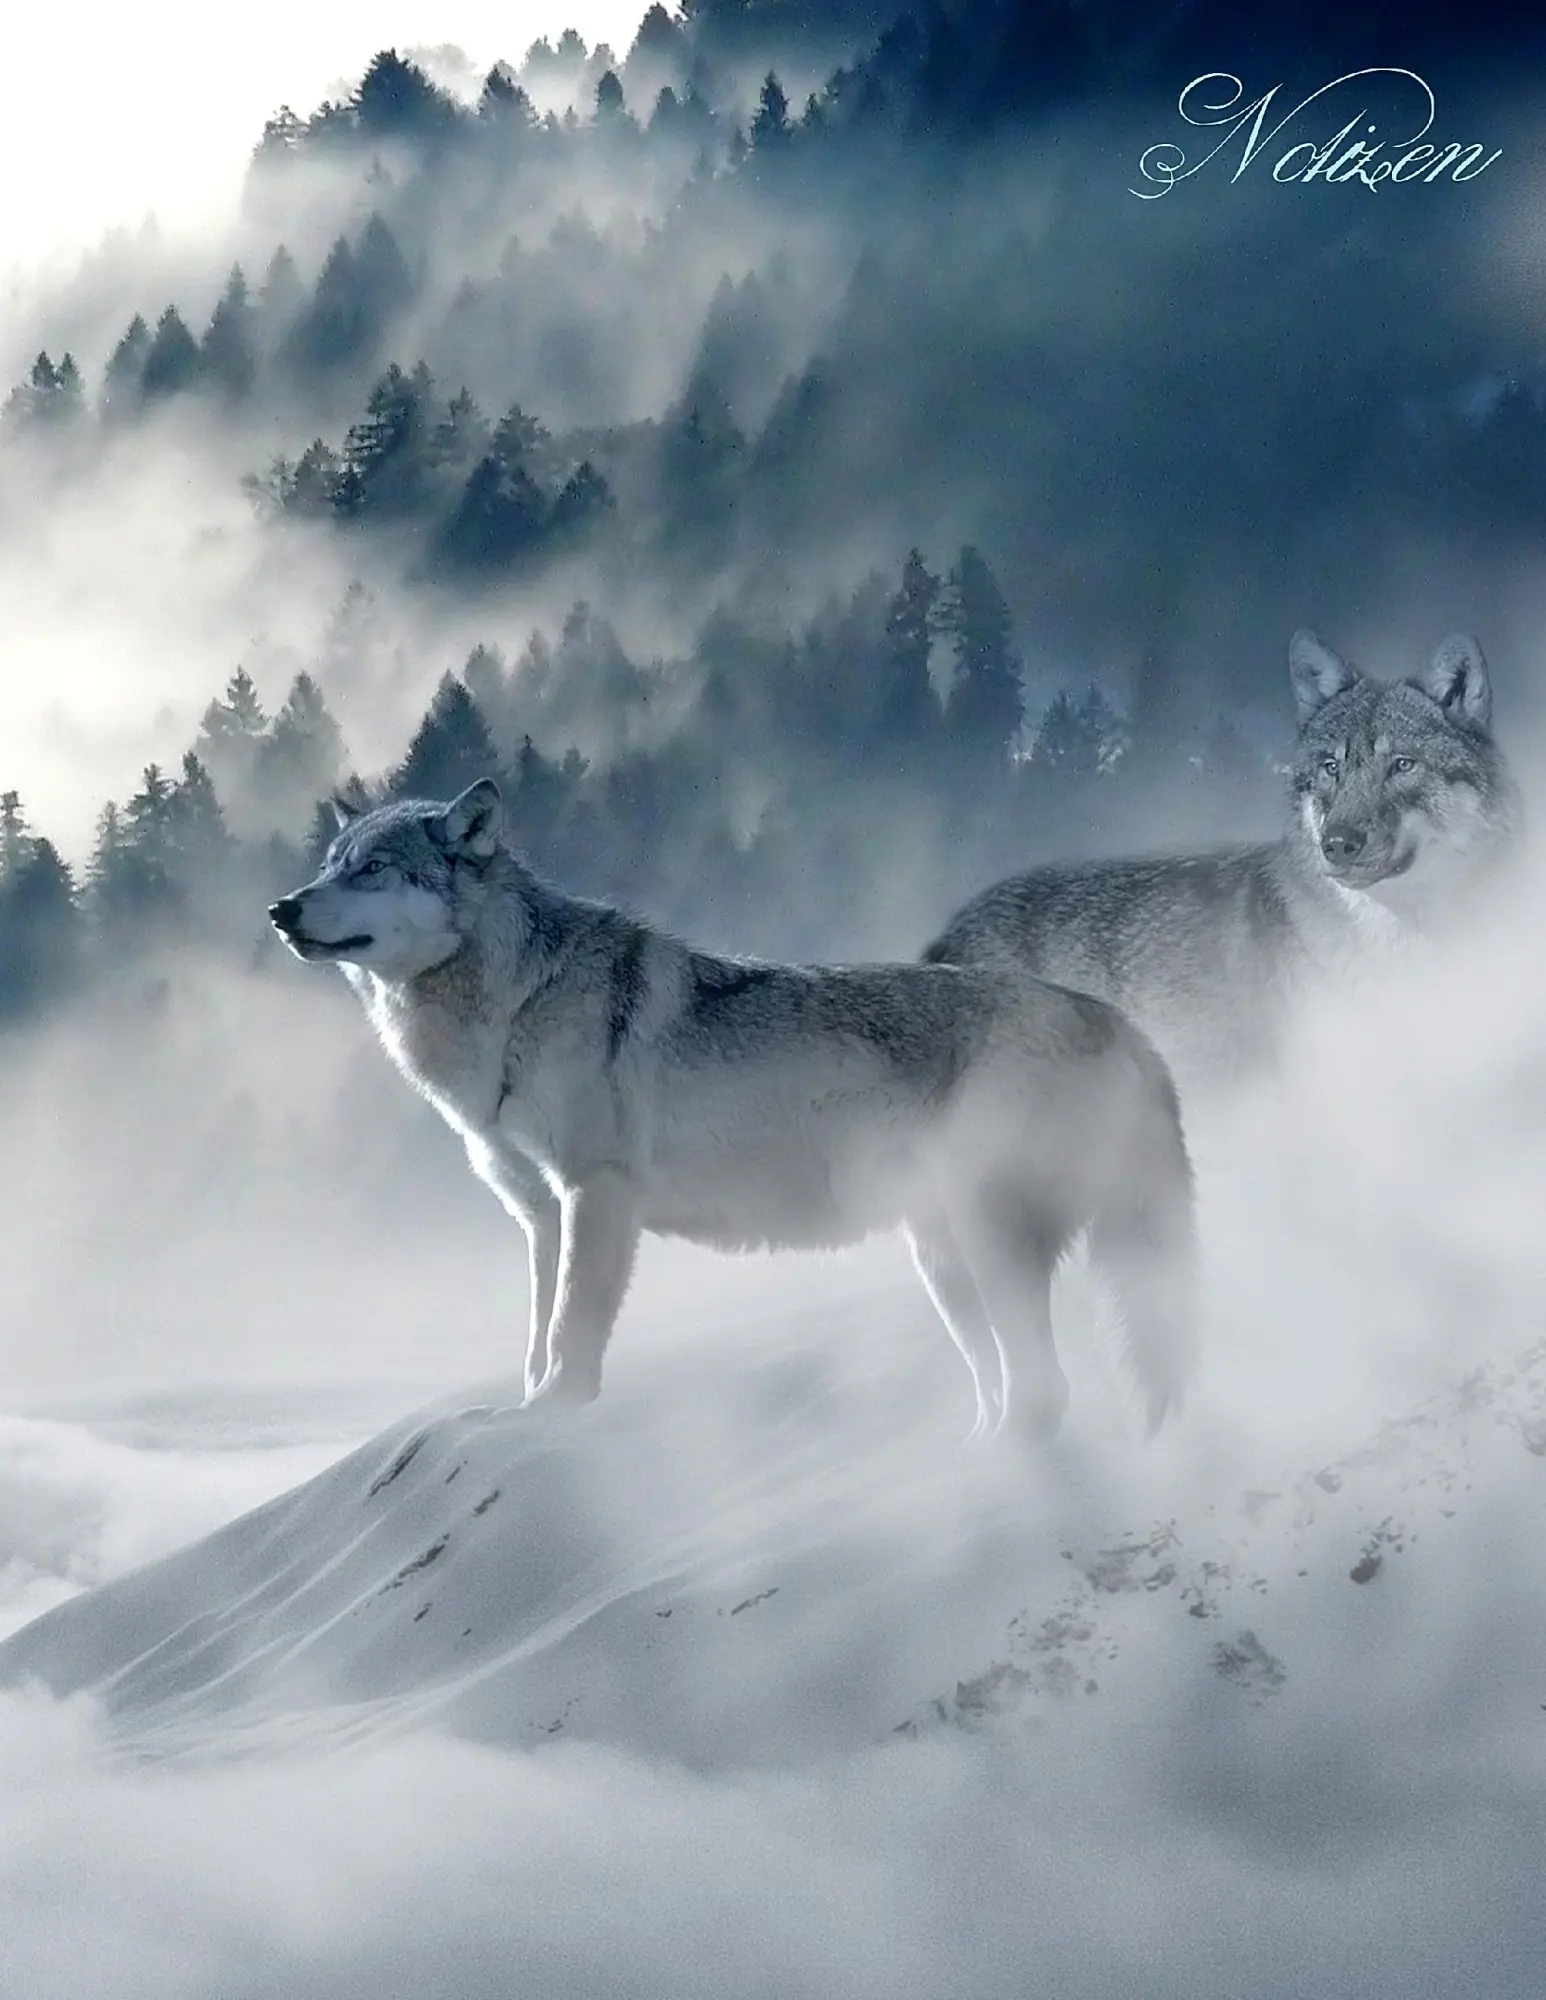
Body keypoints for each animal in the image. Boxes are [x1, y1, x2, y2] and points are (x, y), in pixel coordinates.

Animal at [269, 779, 1198, 1441]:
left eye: (373, 869)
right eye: (330, 863)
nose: (281, 908)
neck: (514, 1003)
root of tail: (1121, 1024)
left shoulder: (597, 1195)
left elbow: (569, 1336)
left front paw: (553, 1417)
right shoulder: (540, 1214)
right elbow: (534, 1338)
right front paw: (517, 1413)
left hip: (985, 1243)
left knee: (1046, 1393)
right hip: (942, 1263)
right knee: (1008, 1389)